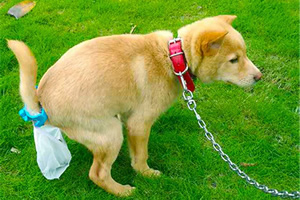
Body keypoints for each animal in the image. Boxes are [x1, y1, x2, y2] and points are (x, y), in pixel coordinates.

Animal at [7, 14, 260, 196]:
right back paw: (122, 191)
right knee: (97, 174)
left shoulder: (128, 118)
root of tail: (40, 101)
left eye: (245, 55)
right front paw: (146, 174)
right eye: (234, 60)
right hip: (111, 133)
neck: (174, 58)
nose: (259, 77)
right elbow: (140, 158)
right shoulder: (139, 124)